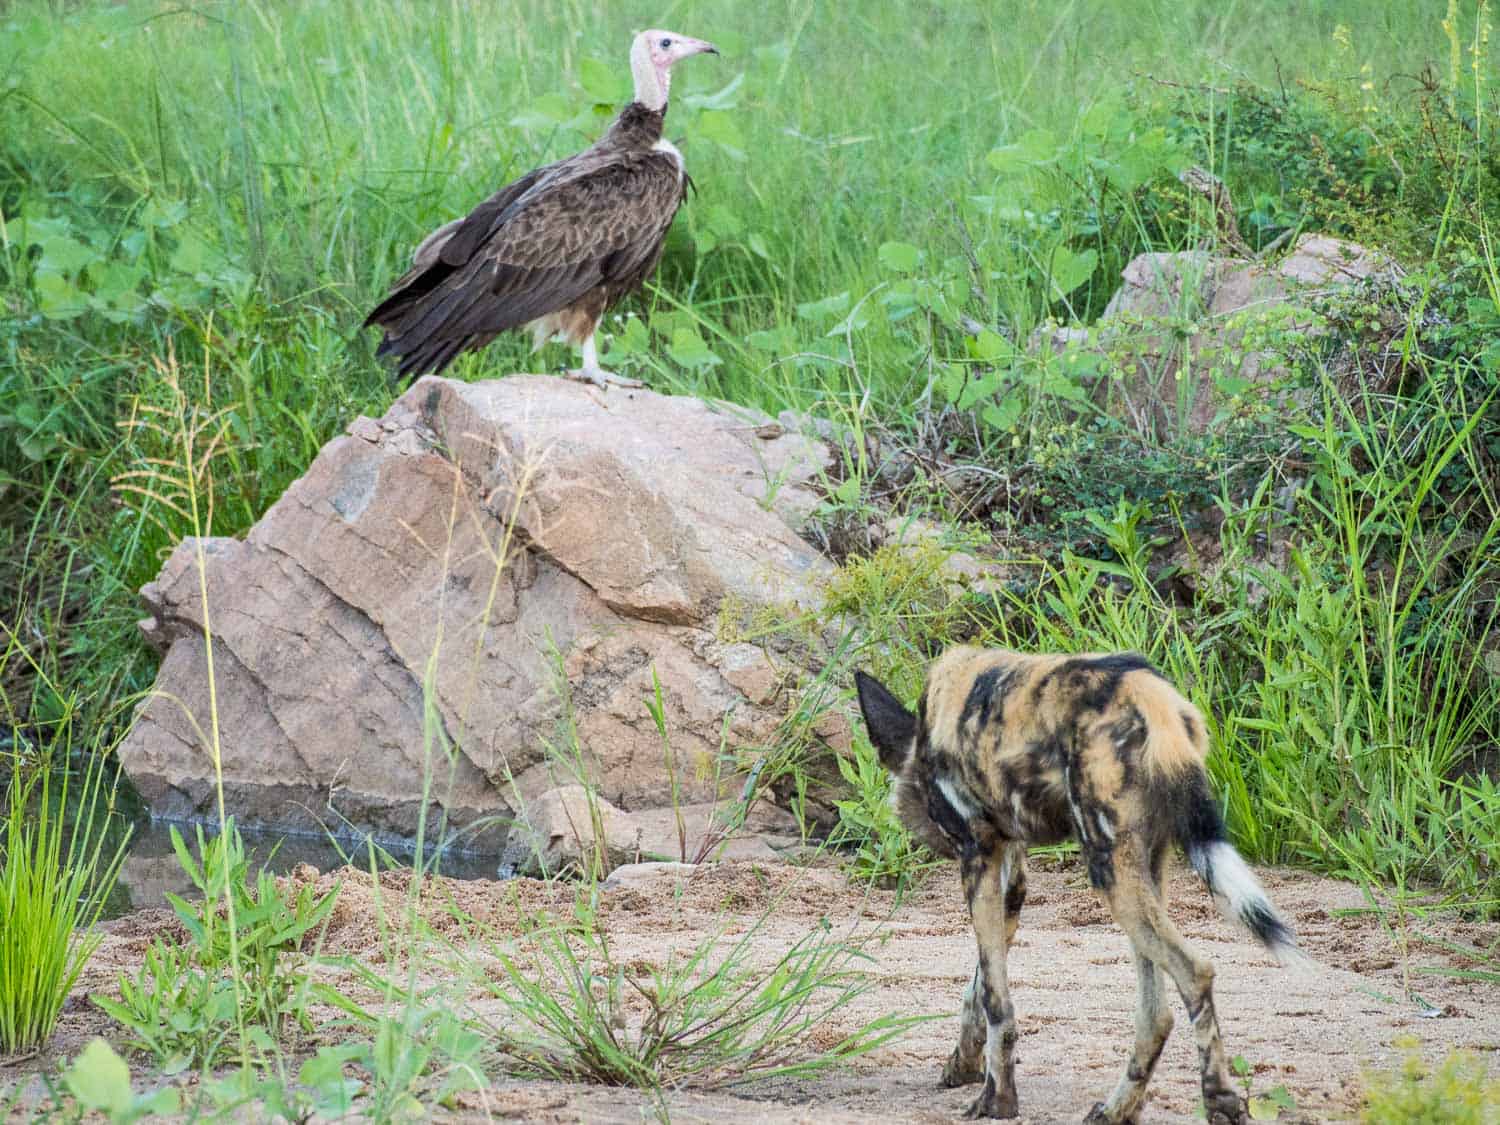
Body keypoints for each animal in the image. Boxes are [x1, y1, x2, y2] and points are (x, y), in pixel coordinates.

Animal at [858, 648, 1302, 1122]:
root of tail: (1153, 696)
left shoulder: (977, 856)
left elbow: (995, 998)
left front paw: (997, 1100)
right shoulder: (1009, 873)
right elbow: (978, 987)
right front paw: (963, 1064)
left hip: (1109, 869)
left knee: (1195, 972)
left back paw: (1218, 1101)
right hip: (1144, 869)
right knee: (1156, 1012)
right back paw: (1118, 1109)